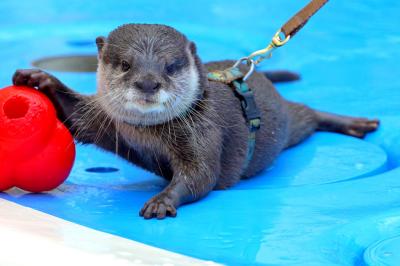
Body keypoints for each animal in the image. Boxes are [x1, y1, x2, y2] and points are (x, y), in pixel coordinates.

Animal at [12, 23, 378, 219]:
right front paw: (38, 78)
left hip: (284, 122)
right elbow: (79, 121)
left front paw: (162, 201)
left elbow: (202, 175)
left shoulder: (203, 132)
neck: (149, 133)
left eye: (170, 66)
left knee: (307, 113)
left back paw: (357, 124)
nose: (148, 83)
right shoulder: (107, 121)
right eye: (126, 64)